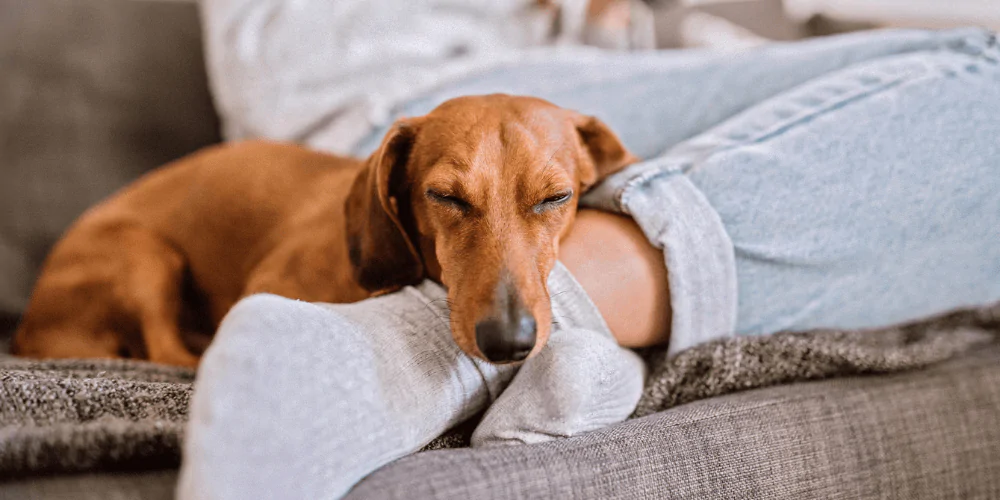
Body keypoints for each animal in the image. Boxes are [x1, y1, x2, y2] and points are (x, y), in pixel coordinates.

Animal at [11, 94, 636, 368]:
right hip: (145, 255)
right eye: (445, 197)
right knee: (168, 352)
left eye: (556, 198)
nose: (509, 343)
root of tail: (30, 329)